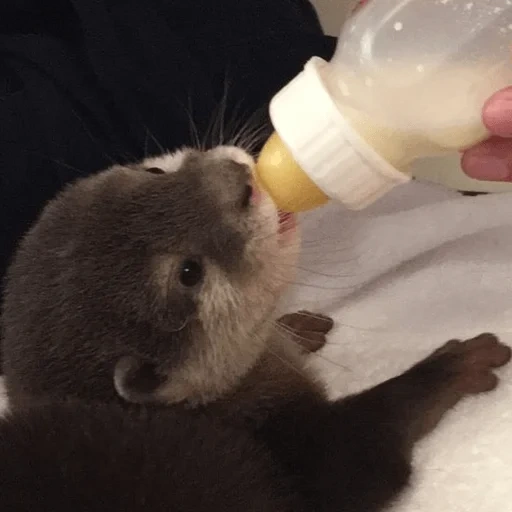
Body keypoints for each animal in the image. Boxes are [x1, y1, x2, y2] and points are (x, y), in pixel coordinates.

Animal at [0, 146, 510, 510]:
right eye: (189, 273)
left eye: (156, 172)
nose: (242, 180)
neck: (220, 412)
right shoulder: (302, 458)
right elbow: (368, 444)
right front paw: (456, 362)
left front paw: (296, 326)